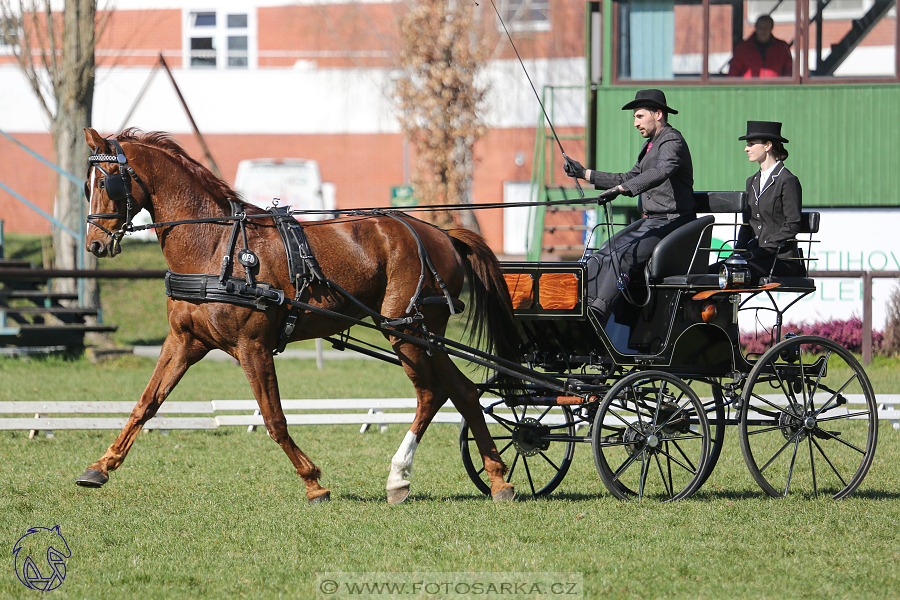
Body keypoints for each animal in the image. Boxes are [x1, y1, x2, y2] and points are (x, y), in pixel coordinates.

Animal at [78, 129, 520, 504]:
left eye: (106, 183)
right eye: (86, 185)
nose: (95, 245)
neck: (216, 247)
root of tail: (441, 233)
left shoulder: (252, 346)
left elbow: (274, 418)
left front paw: (313, 483)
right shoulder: (185, 341)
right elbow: (147, 403)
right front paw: (100, 467)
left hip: (408, 330)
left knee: (434, 393)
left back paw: (413, 477)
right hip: (418, 334)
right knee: (461, 392)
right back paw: (491, 478)